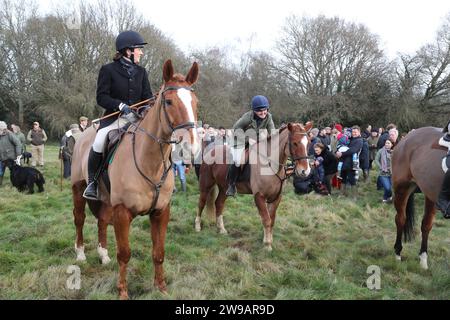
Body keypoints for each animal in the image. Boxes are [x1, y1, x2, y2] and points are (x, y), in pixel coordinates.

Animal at [71, 58, 200, 298]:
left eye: (195, 102)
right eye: (169, 101)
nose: (190, 146)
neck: (151, 163)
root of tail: (83, 135)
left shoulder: (161, 212)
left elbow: (159, 252)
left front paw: (161, 287)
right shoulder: (122, 212)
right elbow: (124, 253)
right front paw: (122, 291)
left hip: (105, 199)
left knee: (102, 220)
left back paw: (103, 255)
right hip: (78, 189)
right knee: (80, 219)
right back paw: (81, 253)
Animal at [193, 122, 312, 250]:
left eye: (308, 142)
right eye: (294, 143)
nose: (305, 171)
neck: (270, 165)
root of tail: (210, 151)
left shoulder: (276, 198)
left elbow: (271, 220)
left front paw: (268, 239)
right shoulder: (259, 197)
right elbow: (266, 219)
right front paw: (267, 244)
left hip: (224, 188)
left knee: (219, 204)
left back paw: (221, 229)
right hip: (205, 186)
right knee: (201, 203)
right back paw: (197, 226)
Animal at [390, 126, 446, 268]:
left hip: (430, 193)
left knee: (426, 224)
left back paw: (423, 259)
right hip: (402, 188)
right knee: (400, 219)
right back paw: (398, 253)